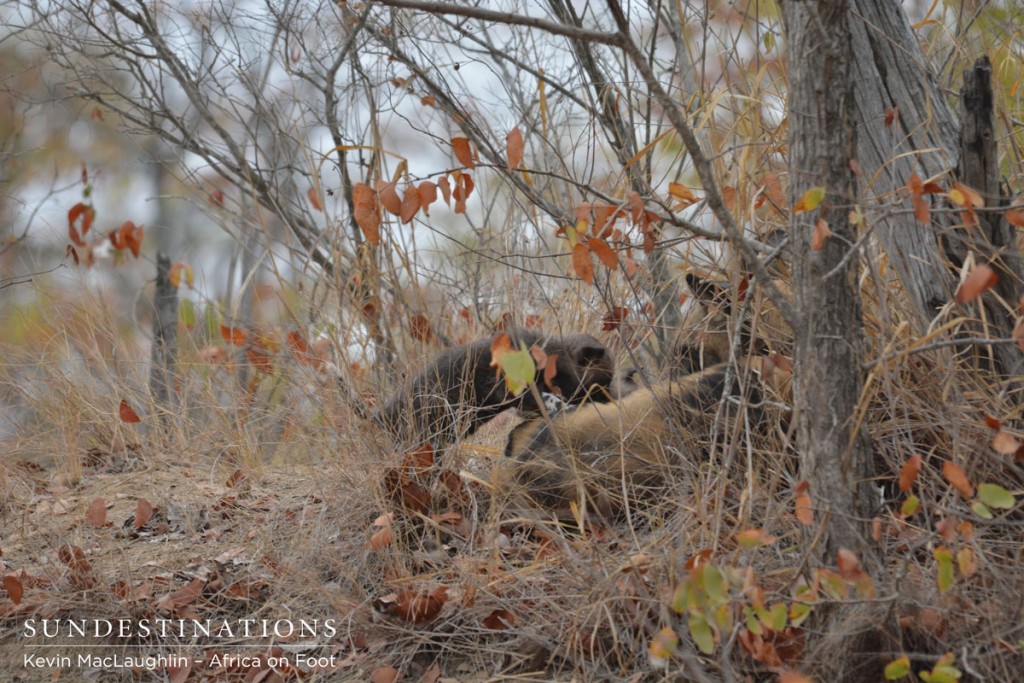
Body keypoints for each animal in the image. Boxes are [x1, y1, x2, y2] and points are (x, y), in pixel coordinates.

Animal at [376, 331, 614, 454]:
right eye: (602, 383)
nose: (610, 399)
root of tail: (381, 414)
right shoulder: (516, 388)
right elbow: (549, 400)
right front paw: (566, 406)